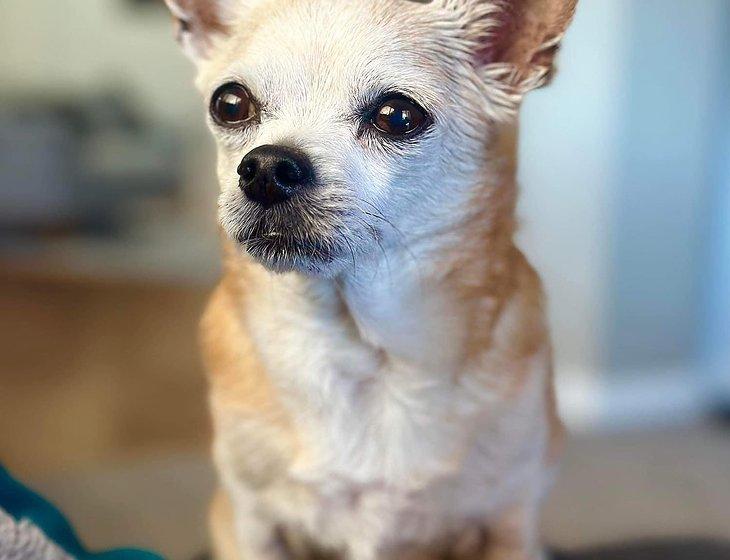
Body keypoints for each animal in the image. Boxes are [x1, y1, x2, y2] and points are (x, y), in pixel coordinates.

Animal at [164, 2, 576, 556]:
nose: (266, 167)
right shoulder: (248, 523)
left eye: (397, 116)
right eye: (229, 104)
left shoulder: (511, 523)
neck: (362, 353)